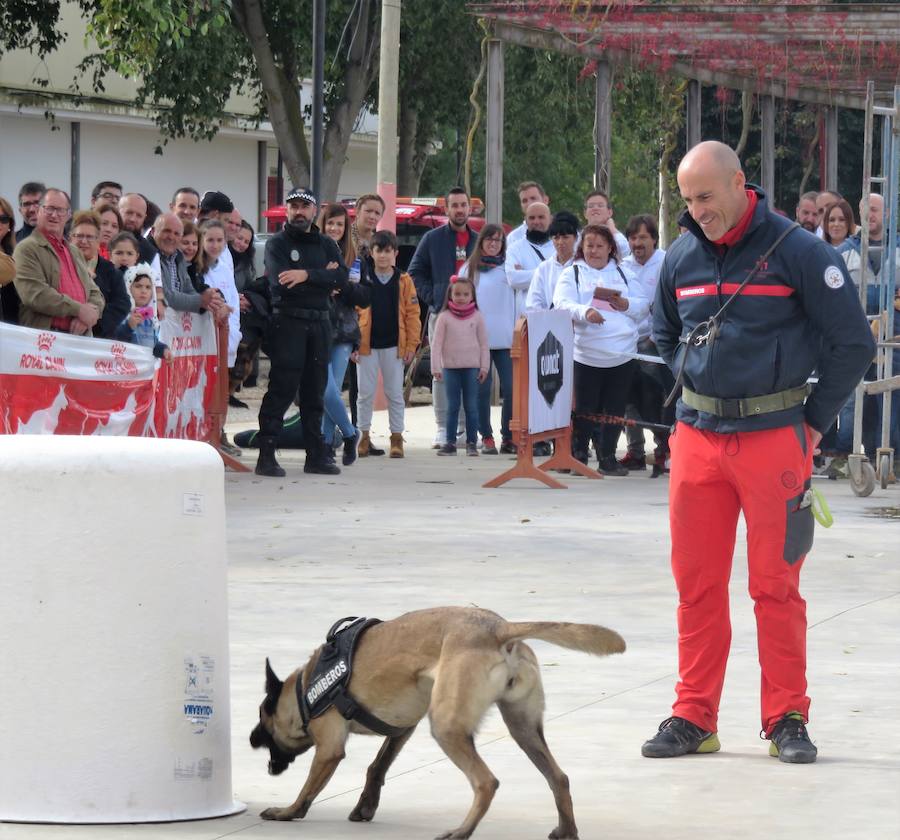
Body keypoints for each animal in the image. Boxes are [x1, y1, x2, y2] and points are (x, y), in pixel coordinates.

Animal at [248, 608, 624, 836]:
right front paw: (366, 805)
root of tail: (500, 628)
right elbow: (377, 767)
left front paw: (287, 812)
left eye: (262, 720)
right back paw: (567, 831)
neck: (304, 688)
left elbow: (307, 791)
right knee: (558, 778)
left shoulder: (328, 749)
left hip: (446, 728)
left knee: (486, 782)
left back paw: (462, 832)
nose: (250, 739)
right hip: (523, 729)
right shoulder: (402, 729)